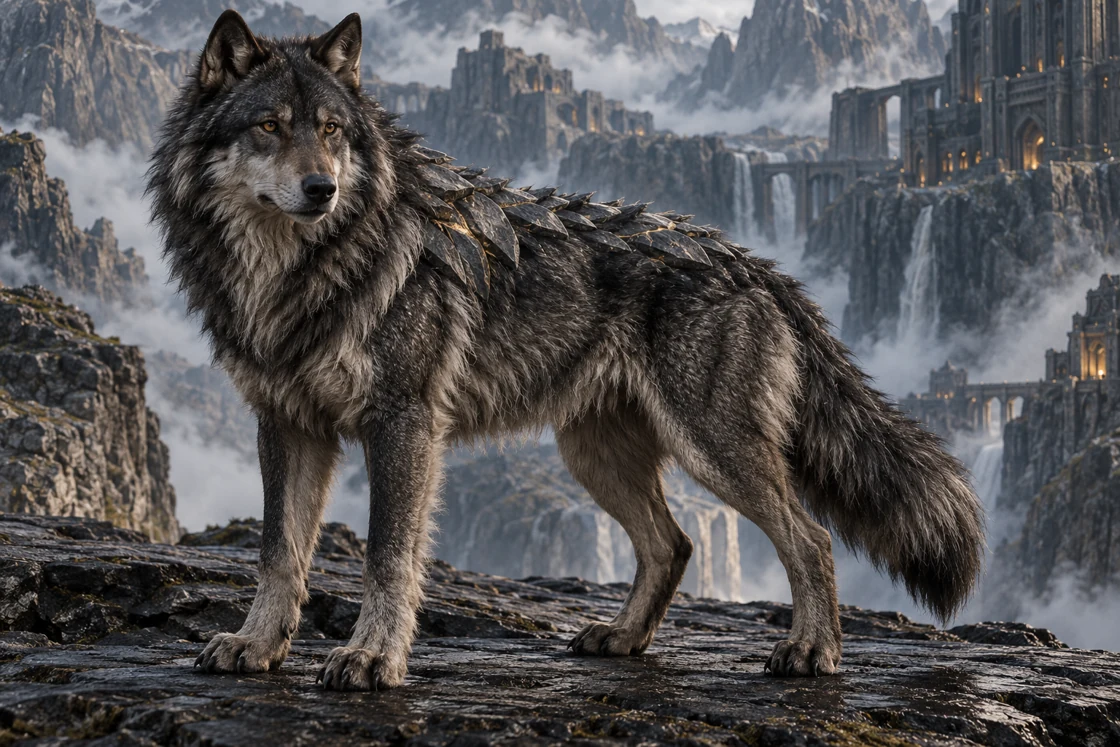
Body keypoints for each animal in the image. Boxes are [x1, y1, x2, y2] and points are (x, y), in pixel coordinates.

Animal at [148, 10, 985, 691]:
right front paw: (257, 645)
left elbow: (387, 556)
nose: (322, 188)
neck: (300, 268)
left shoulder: (403, 423)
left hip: (713, 450)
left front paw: (372, 658)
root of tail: (750, 261)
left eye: (330, 131)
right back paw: (623, 637)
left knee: (810, 538)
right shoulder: (288, 424)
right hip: (595, 454)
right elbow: (278, 552)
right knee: (675, 544)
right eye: (269, 126)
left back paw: (813, 652)